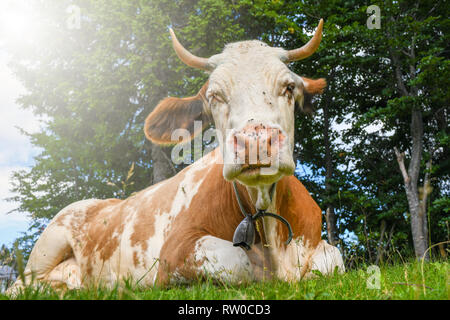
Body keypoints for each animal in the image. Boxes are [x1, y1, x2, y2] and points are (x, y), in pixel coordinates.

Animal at [7, 18, 344, 292]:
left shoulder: (321, 248)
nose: (255, 142)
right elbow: (240, 261)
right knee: (21, 285)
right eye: (214, 95)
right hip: (47, 244)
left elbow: (332, 258)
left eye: (289, 87)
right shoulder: (175, 251)